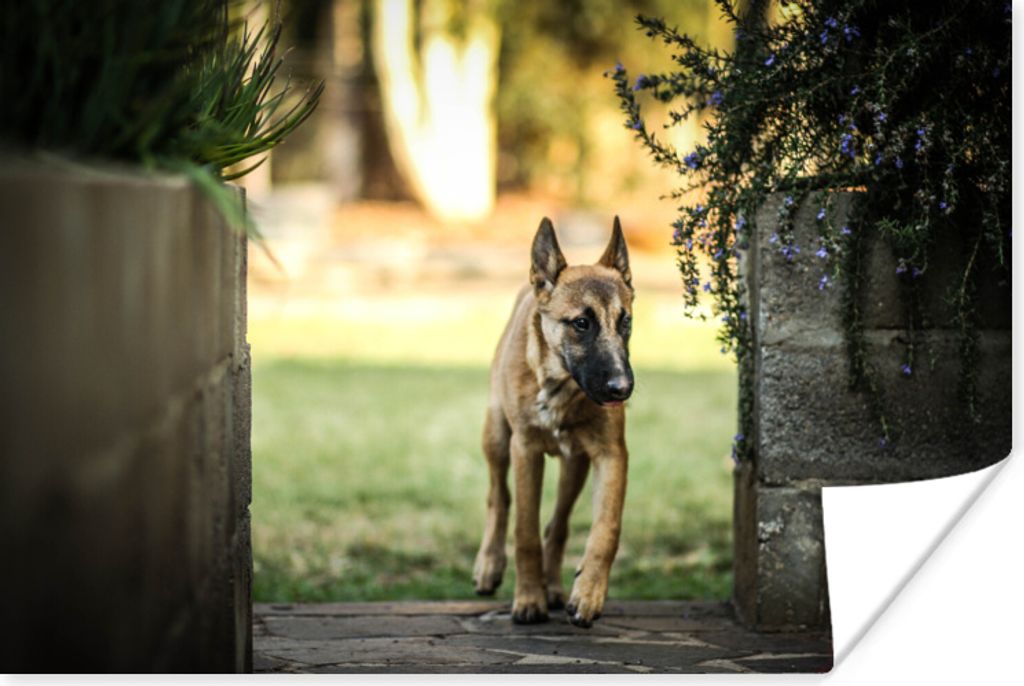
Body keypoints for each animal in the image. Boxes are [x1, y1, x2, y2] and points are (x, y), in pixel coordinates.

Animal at [472, 216, 634, 628]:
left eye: (625, 321)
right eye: (581, 323)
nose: (621, 388)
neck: (561, 386)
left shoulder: (611, 455)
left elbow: (606, 529)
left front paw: (588, 593)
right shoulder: (525, 450)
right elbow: (525, 532)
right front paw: (529, 598)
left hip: (574, 466)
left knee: (557, 525)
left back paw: (556, 587)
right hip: (496, 436)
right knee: (498, 496)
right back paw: (490, 565)